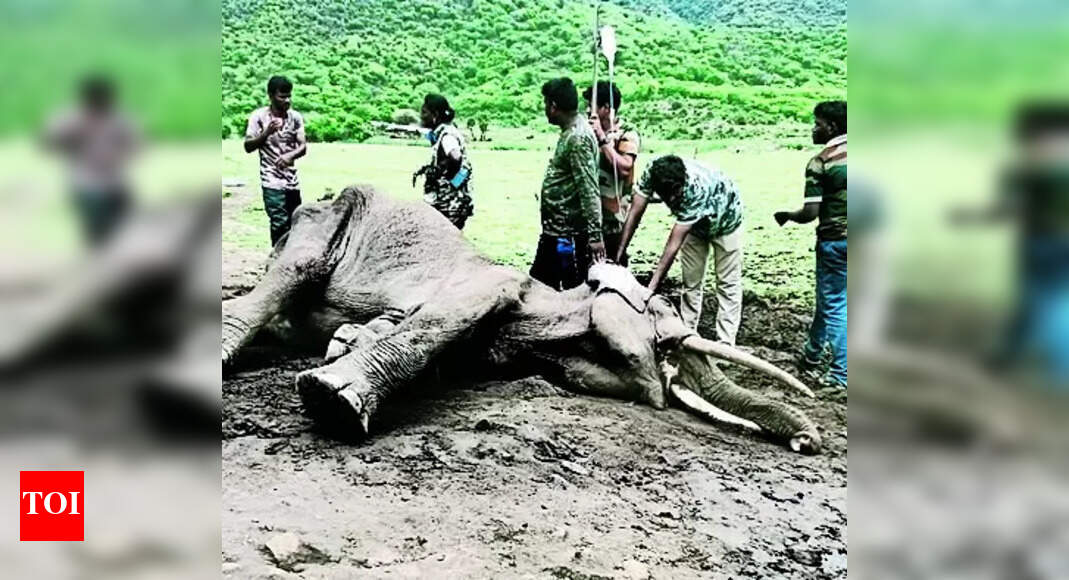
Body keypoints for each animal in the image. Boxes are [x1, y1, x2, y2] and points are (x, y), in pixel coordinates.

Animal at [222, 186, 822, 454]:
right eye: (664, 322)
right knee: (288, 276)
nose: (806, 443)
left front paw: (345, 343)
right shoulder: (494, 285)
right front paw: (331, 399)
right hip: (324, 220)